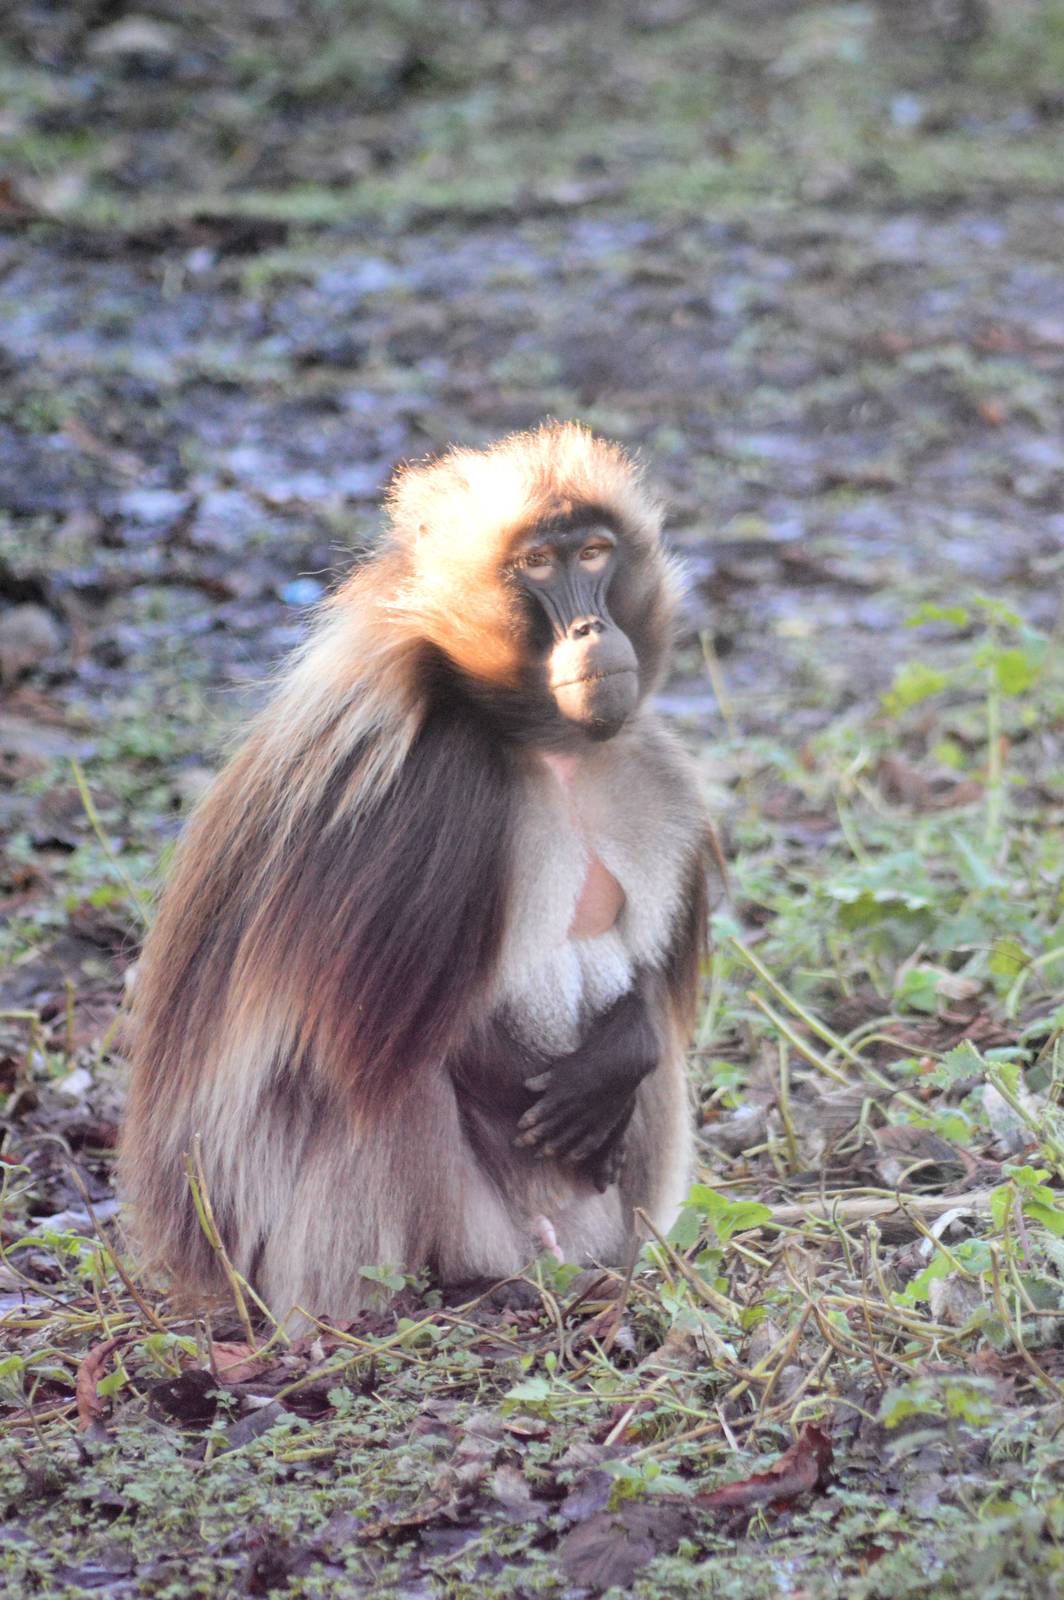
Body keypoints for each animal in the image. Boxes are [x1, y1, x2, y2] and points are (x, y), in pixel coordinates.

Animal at [120, 422, 715, 1328]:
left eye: (596, 551)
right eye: (538, 564)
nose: (589, 629)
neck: (541, 743)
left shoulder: (649, 766)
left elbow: (640, 1000)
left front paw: (625, 1051)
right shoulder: (434, 785)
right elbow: (373, 1033)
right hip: (339, 1252)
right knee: (389, 1079)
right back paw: (450, 1295)